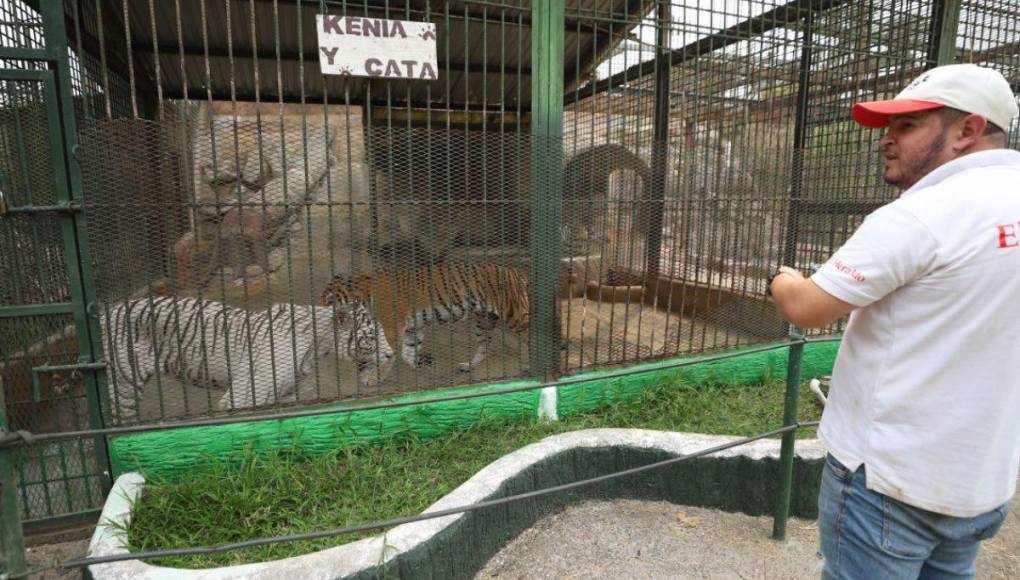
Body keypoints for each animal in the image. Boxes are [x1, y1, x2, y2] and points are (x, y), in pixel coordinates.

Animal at [99, 295, 391, 422]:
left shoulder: (284, 395)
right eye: (372, 336)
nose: (390, 354)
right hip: (125, 385)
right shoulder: (245, 395)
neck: (317, 345)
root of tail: (107, 311)